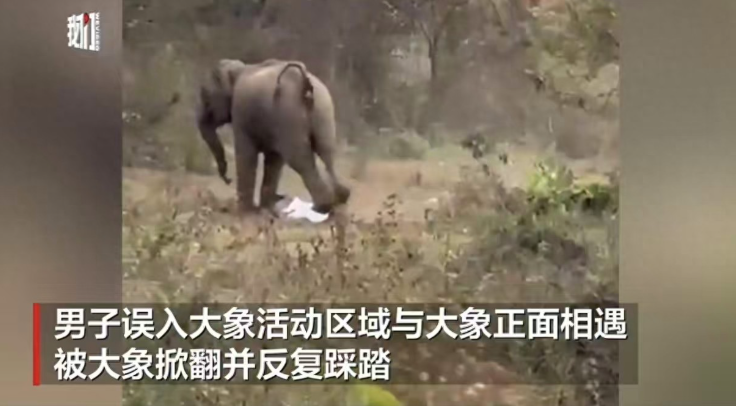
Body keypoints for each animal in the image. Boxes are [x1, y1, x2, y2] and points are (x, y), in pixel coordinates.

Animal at [195, 58, 351, 215]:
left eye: (205, 96)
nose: (228, 180)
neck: (238, 69)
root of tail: (303, 81)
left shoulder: (241, 112)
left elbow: (246, 154)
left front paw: (244, 212)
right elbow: (273, 159)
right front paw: (265, 209)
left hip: (290, 114)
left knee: (300, 159)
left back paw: (323, 206)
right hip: (323, 109)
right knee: (326, 150)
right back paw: (341, 197)